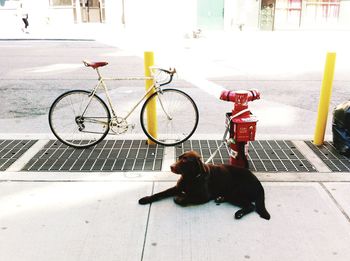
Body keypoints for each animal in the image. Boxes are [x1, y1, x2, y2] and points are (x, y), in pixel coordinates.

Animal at [139, 149, 270, 218]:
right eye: (179, 158)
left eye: (185, 160)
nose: (171, 166)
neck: (190, 178)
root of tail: (259, 184)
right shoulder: (177, 188)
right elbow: (160, 193)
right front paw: (146, 199)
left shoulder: (204, 196)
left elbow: (188, 198)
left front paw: (180, 198)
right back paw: (221, 198)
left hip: (236, 191)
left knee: (251, 205)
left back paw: (239, 213)